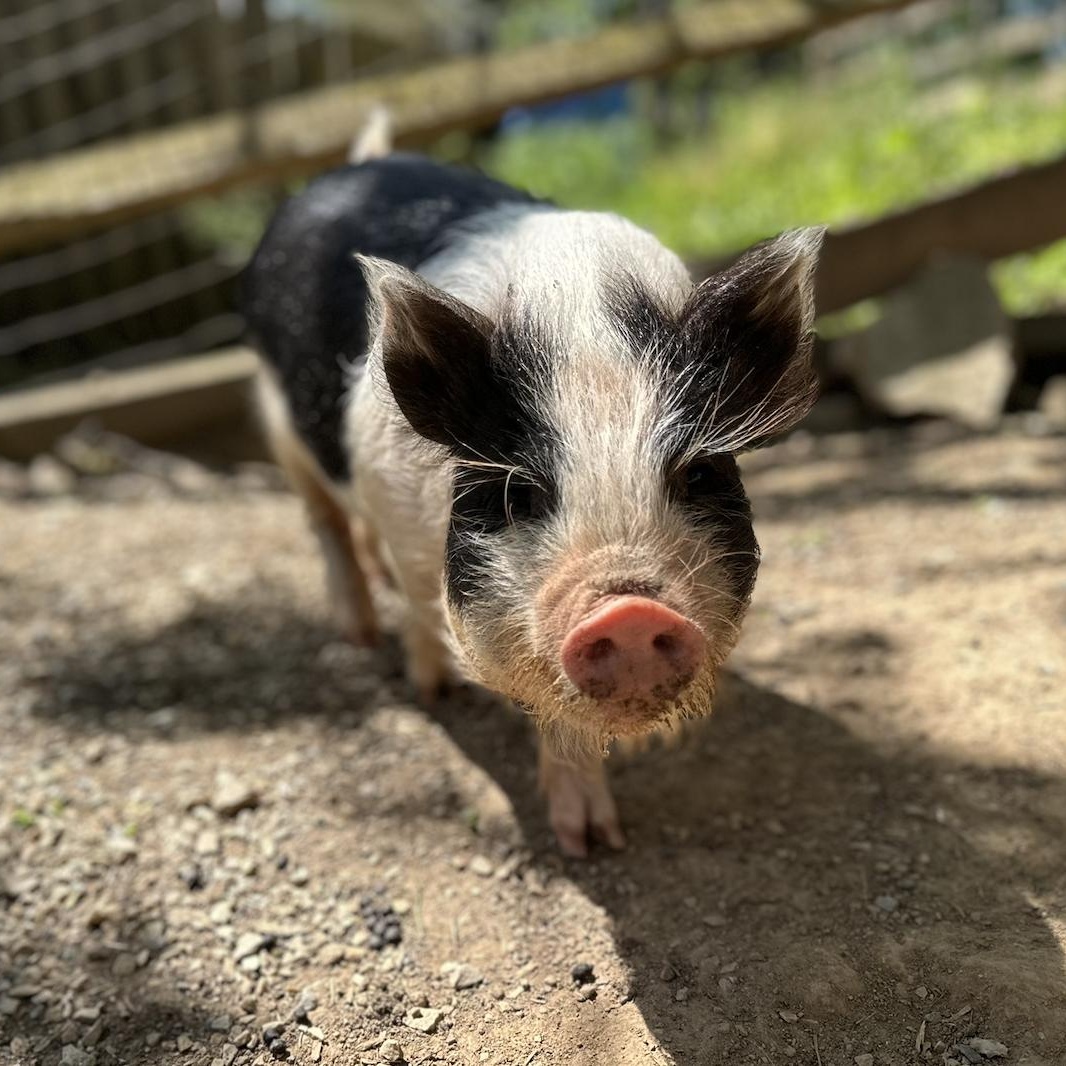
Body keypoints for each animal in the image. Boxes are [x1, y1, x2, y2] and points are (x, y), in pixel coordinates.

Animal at [242, 119, 823, 856]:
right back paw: (367, 640)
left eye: (695, 475)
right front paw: (585, 842)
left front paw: (618, 810)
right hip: (274, 416)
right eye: (520, 493)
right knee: (325, 522)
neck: (578, 317)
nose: (632, 611)